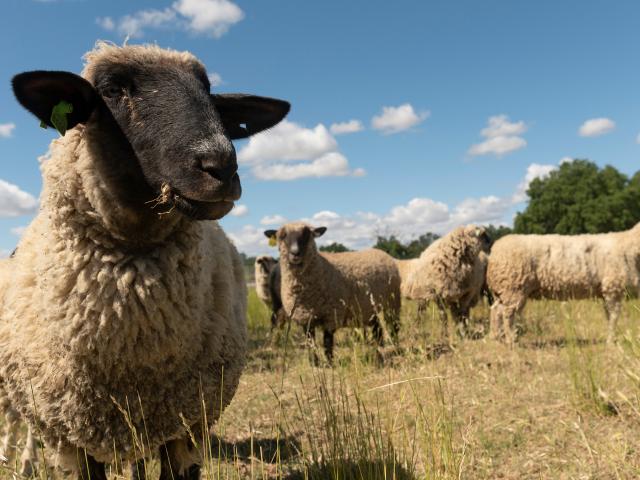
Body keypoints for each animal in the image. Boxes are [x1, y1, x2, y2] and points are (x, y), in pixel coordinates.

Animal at [264, 223, 401, 364]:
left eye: (307, 234)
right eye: (282, 235)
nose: (295, 253)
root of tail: (381, 252)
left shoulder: (331, 314)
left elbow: (327, 342)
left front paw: (330, 363)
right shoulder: (304, 317)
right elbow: (310, 342)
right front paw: (314, 363)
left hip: (393, 302)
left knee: (394, 326)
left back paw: (395, 347)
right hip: (370, 307)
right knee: (377, 328)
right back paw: (380, 349)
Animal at [486, 223, 640, 345]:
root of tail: (494, 251)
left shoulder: (609, 292)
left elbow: (609, 317)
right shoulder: (613, 289)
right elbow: (613, 318)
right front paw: (611, 341)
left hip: (504, 291)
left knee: (496, 311)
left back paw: (497, 338)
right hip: (514, 288)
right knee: (507, 314)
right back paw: (511, 340)